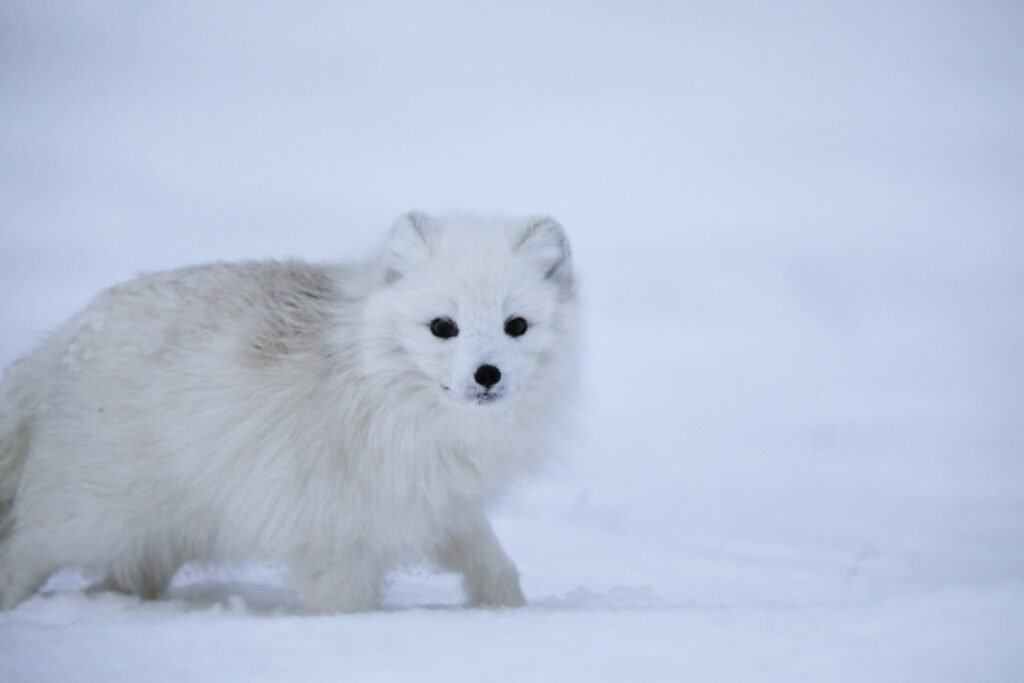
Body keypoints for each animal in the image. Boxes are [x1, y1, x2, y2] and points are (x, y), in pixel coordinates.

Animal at [0, 212, 580, 612]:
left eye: (516, 325)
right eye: (442, 326)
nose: (487, 374)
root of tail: (69, 336)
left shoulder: (438, 503)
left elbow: (494, 564)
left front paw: (509, 614)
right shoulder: (331, 531)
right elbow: (346, 604)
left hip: (160, 529)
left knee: (125, 577)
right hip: (86, 516)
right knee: (24, 549)